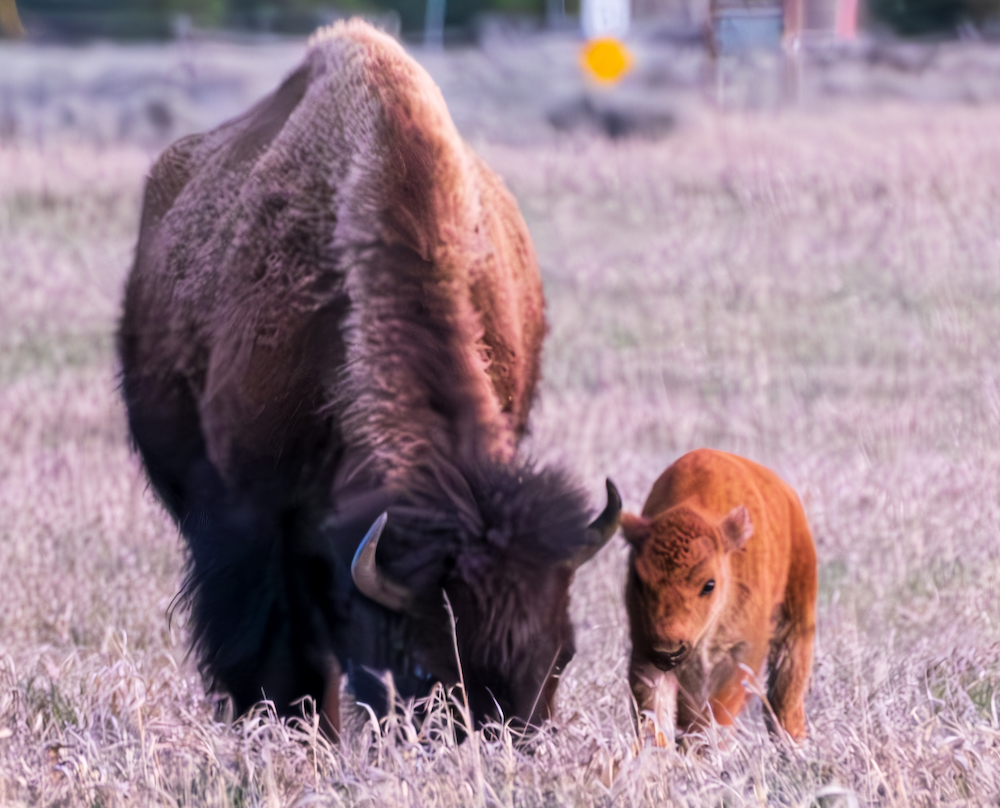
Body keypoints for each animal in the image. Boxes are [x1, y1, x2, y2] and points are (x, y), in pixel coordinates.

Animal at [621, 448, 816, 743]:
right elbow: (653, 712)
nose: (669, 651)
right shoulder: (645, 649)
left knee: (787, 689)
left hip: (796, 621)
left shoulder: (740, 656)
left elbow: (713, 714)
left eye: (709, 584)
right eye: (639, 581)